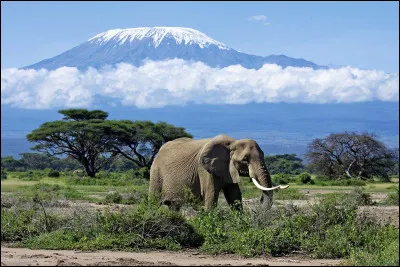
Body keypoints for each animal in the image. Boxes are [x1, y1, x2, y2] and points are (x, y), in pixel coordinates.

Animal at [147, 135, 288, 210]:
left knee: (174, 206)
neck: (233, 143)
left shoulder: (228, 169)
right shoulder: (204, 170)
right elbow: (211, 195)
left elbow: (234, 196)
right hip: (155, 173)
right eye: (245, 159)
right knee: (154, 201)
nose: (260, 199)